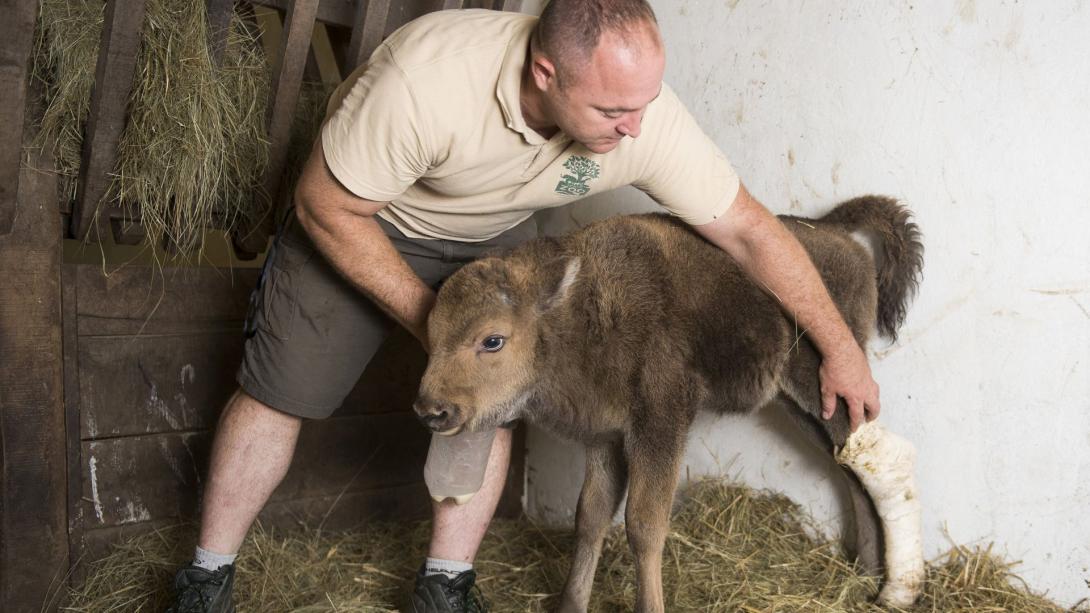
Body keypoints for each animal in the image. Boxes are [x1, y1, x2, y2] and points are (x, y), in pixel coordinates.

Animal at [412, 196, 924, 610]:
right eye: (431, 334)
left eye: (492, 340)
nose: (432, 410)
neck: (575, 313)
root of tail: (834, 233)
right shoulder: (605, 437)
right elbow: (590, 517)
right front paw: (570, 605)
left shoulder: (659, 425)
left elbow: (644, 524)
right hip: (801, 407)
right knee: (850, 469)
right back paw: (866, 572)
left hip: (823, 386)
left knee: (882, 460)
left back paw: (896, 591)